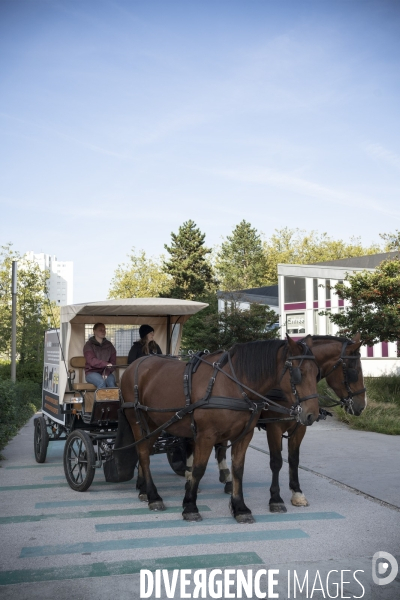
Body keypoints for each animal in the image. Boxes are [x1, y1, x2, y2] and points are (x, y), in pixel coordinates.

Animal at [120, 336, 320, 524]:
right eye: (299, 373)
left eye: (316, 372)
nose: (312, 414)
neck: (233, 384)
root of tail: (133, 366)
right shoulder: (206, 436)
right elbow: (198, 469)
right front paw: (190, 506)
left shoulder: (244, 435)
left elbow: (238, 469)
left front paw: (240, 507)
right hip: (138, 422)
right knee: (144, 454)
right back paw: (154, 496)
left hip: (154, 425)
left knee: (144, 453)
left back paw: (144, 489)